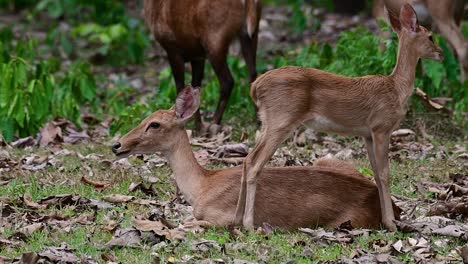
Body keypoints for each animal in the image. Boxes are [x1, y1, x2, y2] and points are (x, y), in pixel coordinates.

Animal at [111, 86, 400, 229]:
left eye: (154, 124)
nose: (117, 144)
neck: (202, 187)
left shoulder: (221, 217)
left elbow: (185, 224)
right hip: (327, 159)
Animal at [236, 4, 444, 231]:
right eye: (430, 36)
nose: (441, 53)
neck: (396, 89)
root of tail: (255, 86)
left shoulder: (367, 134)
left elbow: (376, 173)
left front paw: (386, 221)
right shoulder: (381, 127)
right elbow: (384, 173)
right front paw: (391, 224)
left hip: (268, 121)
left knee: (247, 159)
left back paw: (236, 219)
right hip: (282, 119)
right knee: (255, 164)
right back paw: (248, 224)